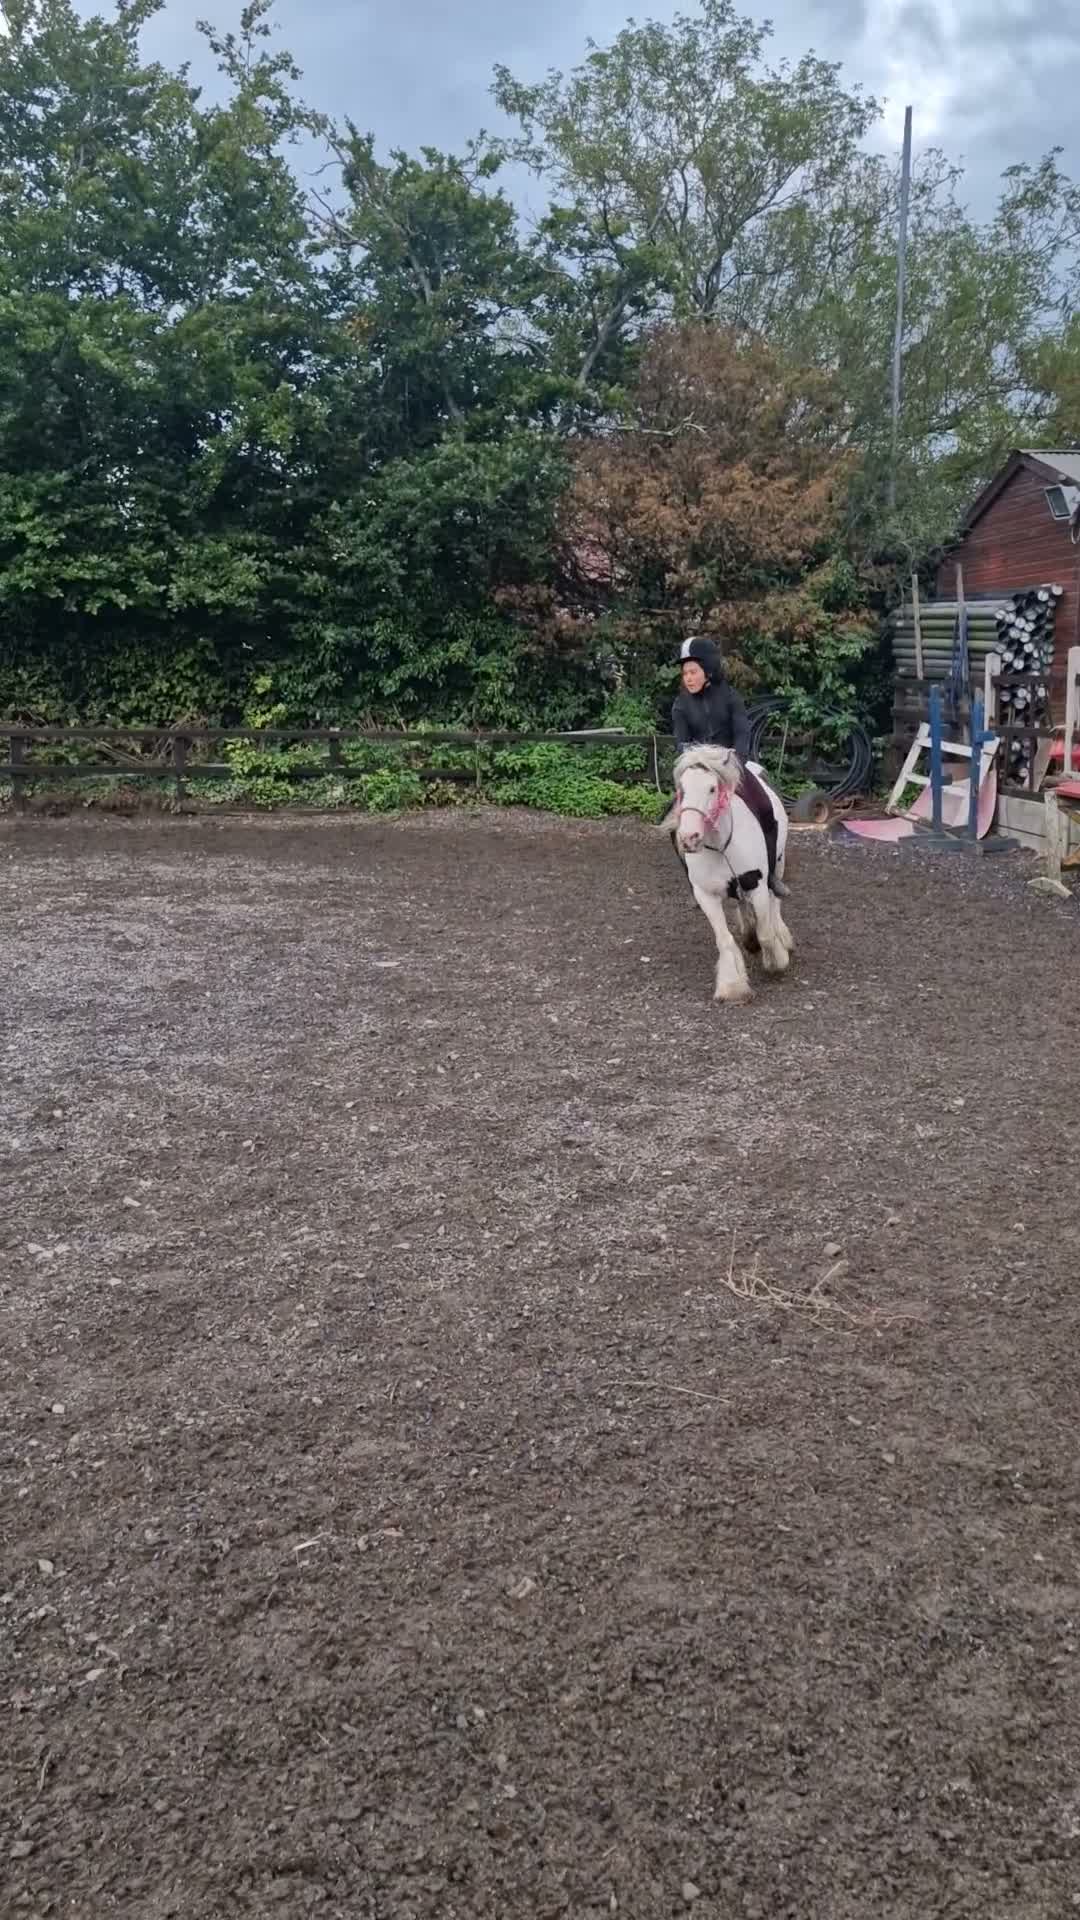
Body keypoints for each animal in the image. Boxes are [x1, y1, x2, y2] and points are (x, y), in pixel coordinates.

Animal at [664, 746, 794, 1003]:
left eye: (712, 788)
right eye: (681, 789)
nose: (689, 838)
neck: (721, 846)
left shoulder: (757, 885)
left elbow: (766, 932)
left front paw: (777, 962)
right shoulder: (706, 895)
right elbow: (724, 940)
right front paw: (733, 987)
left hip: (779, 863)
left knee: (775, 903)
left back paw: (782, 937)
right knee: (743, 906)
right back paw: (749, 937)